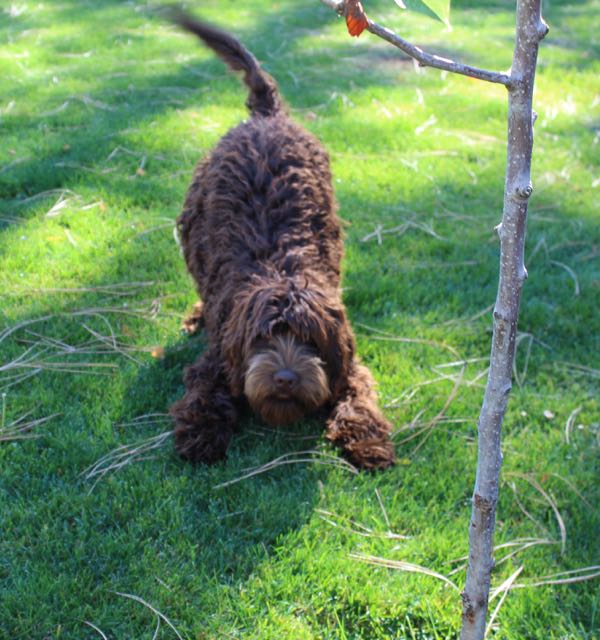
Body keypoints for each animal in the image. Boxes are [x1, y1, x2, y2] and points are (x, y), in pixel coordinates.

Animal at [170, 12, 394, 468]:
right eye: (264, 337)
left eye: (309, 340)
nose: (286, 378)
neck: (281, 267)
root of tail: (265, 118)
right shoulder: (218, 358)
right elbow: (203, 391)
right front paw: (201, 431)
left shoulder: (346, 359)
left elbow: (358, 394)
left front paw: (366, 439)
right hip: (193, 228)